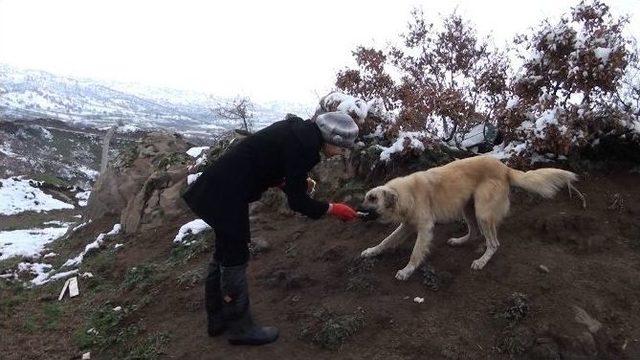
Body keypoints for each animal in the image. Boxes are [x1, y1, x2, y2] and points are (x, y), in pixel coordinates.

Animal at [360, 155, 580, 282]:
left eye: (372, 199)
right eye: (365, 197)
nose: (358, 210)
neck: (406, 194)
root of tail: (505, 168)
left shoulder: (424, 227)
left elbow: (415, 253)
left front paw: (407, 271)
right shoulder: (407, 225)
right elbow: (385, 241)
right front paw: (371, 251)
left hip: (482, 211)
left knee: (494, 243)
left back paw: (481, 261)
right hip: (467, 207)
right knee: (474, 232)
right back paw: (459, 241)